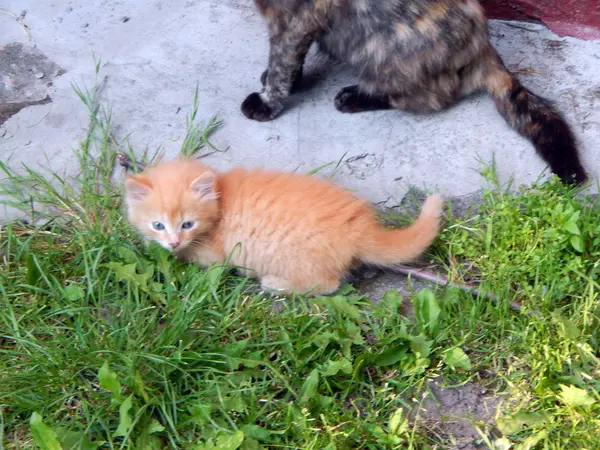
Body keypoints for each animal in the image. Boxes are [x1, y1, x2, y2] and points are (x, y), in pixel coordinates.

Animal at [123, 158, 440, 296]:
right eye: (158, 224)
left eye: (188, 224)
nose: (174, 241)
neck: (221, 198)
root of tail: (359, 227)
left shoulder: (214, 254)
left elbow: (193, 257)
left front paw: (163, 249)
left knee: (327, 285)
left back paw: (276, 284)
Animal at [240, 0, 584, 185]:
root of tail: (484, 48)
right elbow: (291, 61)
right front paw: (284, 81)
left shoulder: (293, 20)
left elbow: (283, 61)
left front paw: (268, 100)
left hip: (384, 47)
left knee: (431, 96)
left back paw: (355, 97)